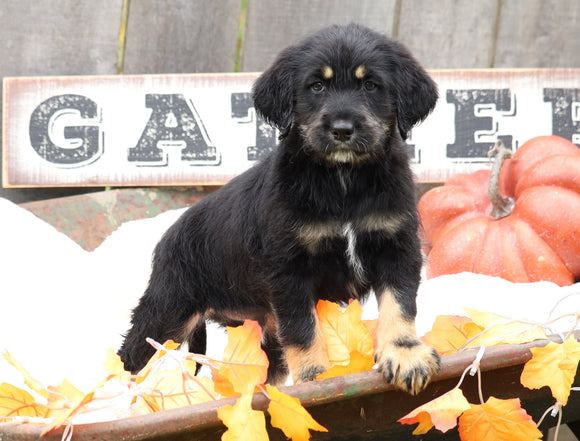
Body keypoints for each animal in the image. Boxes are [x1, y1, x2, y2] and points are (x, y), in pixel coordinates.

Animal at [121, 22, 440, 394]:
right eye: (317, 86)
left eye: (371, 85)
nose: (342, 130)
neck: (343, 182)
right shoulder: (289, 269)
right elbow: (303, 329)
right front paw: (316, 380)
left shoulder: (396, 247)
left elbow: (399, 306)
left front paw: (405, 355)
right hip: (168, 309)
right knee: (133, 357)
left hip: (261, 331)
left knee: (263, 374)